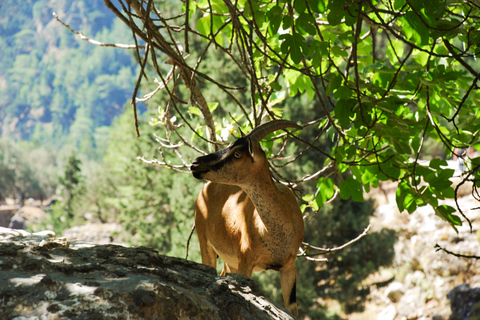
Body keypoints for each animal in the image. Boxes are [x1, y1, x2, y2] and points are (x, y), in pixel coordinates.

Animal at [190, 120, 304, 318]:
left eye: (237, 154)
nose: (196, 163)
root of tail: (204, 191)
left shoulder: (289, 265)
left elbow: (292, 308)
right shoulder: (245, 260)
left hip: (230, 261)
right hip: (205, 242)